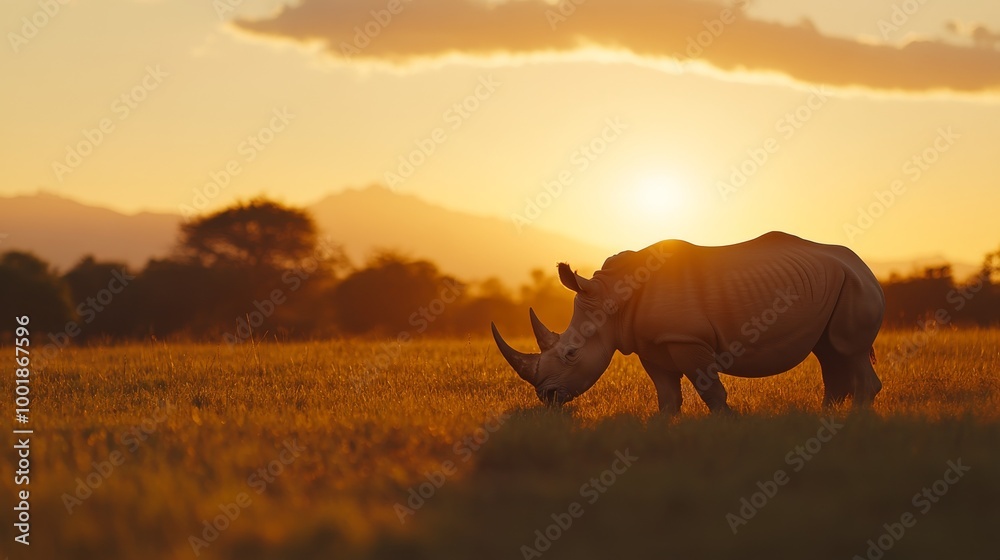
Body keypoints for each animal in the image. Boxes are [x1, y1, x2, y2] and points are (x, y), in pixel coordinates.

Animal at [491, 232, 884, 414]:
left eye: (571, 353)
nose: (547, 397)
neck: (611, 298)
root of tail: (866, 266)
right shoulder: (651, 343)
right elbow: (667, 396)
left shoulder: (686, 339)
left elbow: (711, 390)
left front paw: (728, 424)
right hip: (837, 283)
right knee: (829, 352)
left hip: (855, 284)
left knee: (849, 351)